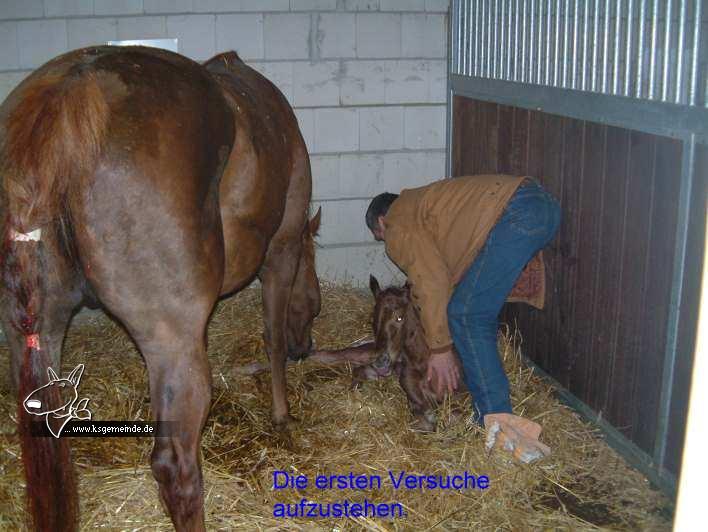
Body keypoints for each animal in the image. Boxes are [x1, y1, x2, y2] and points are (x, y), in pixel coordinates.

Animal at [0, 46, 320, 532]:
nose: (308, 348)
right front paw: (282, 416)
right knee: (176, 468)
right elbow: (273, 339)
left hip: (34, 337)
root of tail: (68, 95)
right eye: (315, 302)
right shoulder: (281, 254)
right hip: (175, 345)